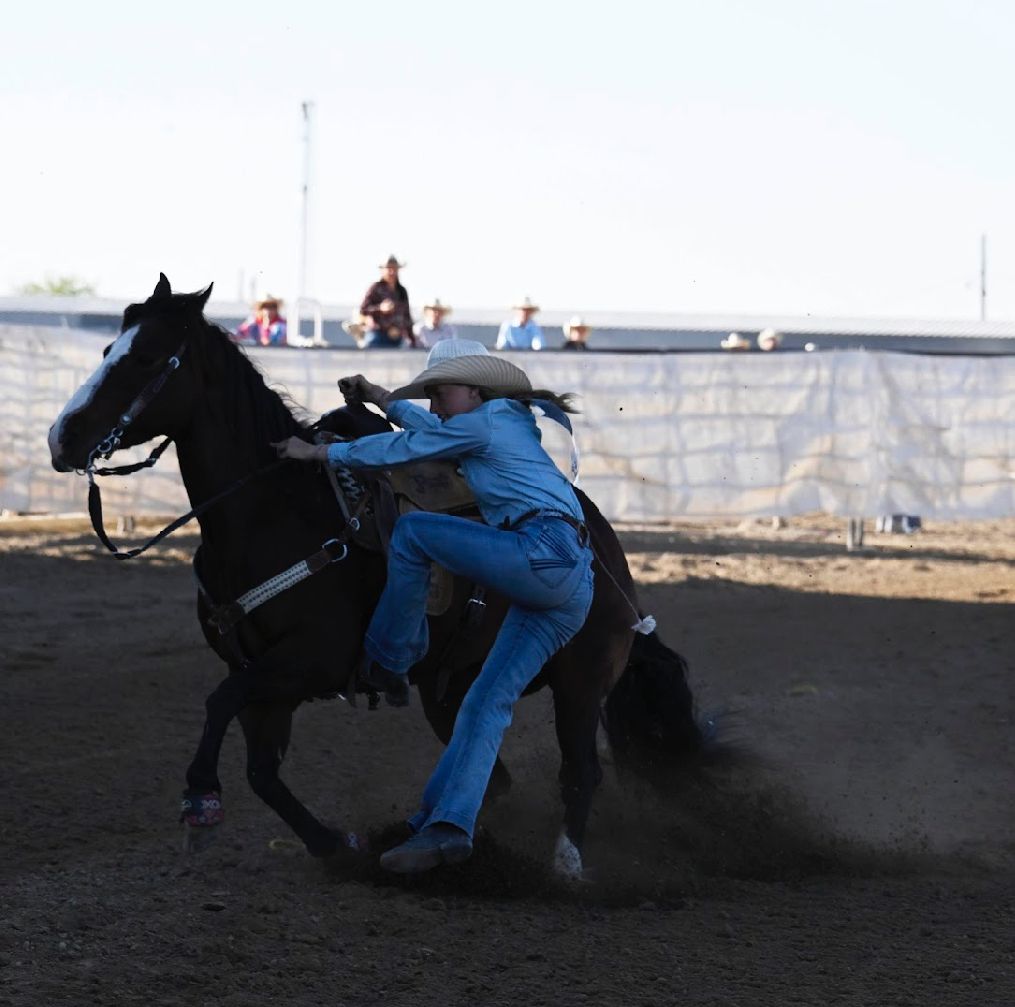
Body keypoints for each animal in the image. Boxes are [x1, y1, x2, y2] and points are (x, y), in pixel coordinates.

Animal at [48, 275, 709, 878]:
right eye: (107, 349)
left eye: (146, 357)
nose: (62, 438)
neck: (273, 511)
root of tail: (607, 552)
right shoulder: (261, 671)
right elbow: (261, 768)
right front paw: (335, 844)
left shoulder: (308, 660)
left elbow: (219, 704)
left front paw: (200, 803)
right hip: (451, 688)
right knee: (488, 768)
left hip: (580, 679)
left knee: (581, 770)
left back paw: (565, 864)